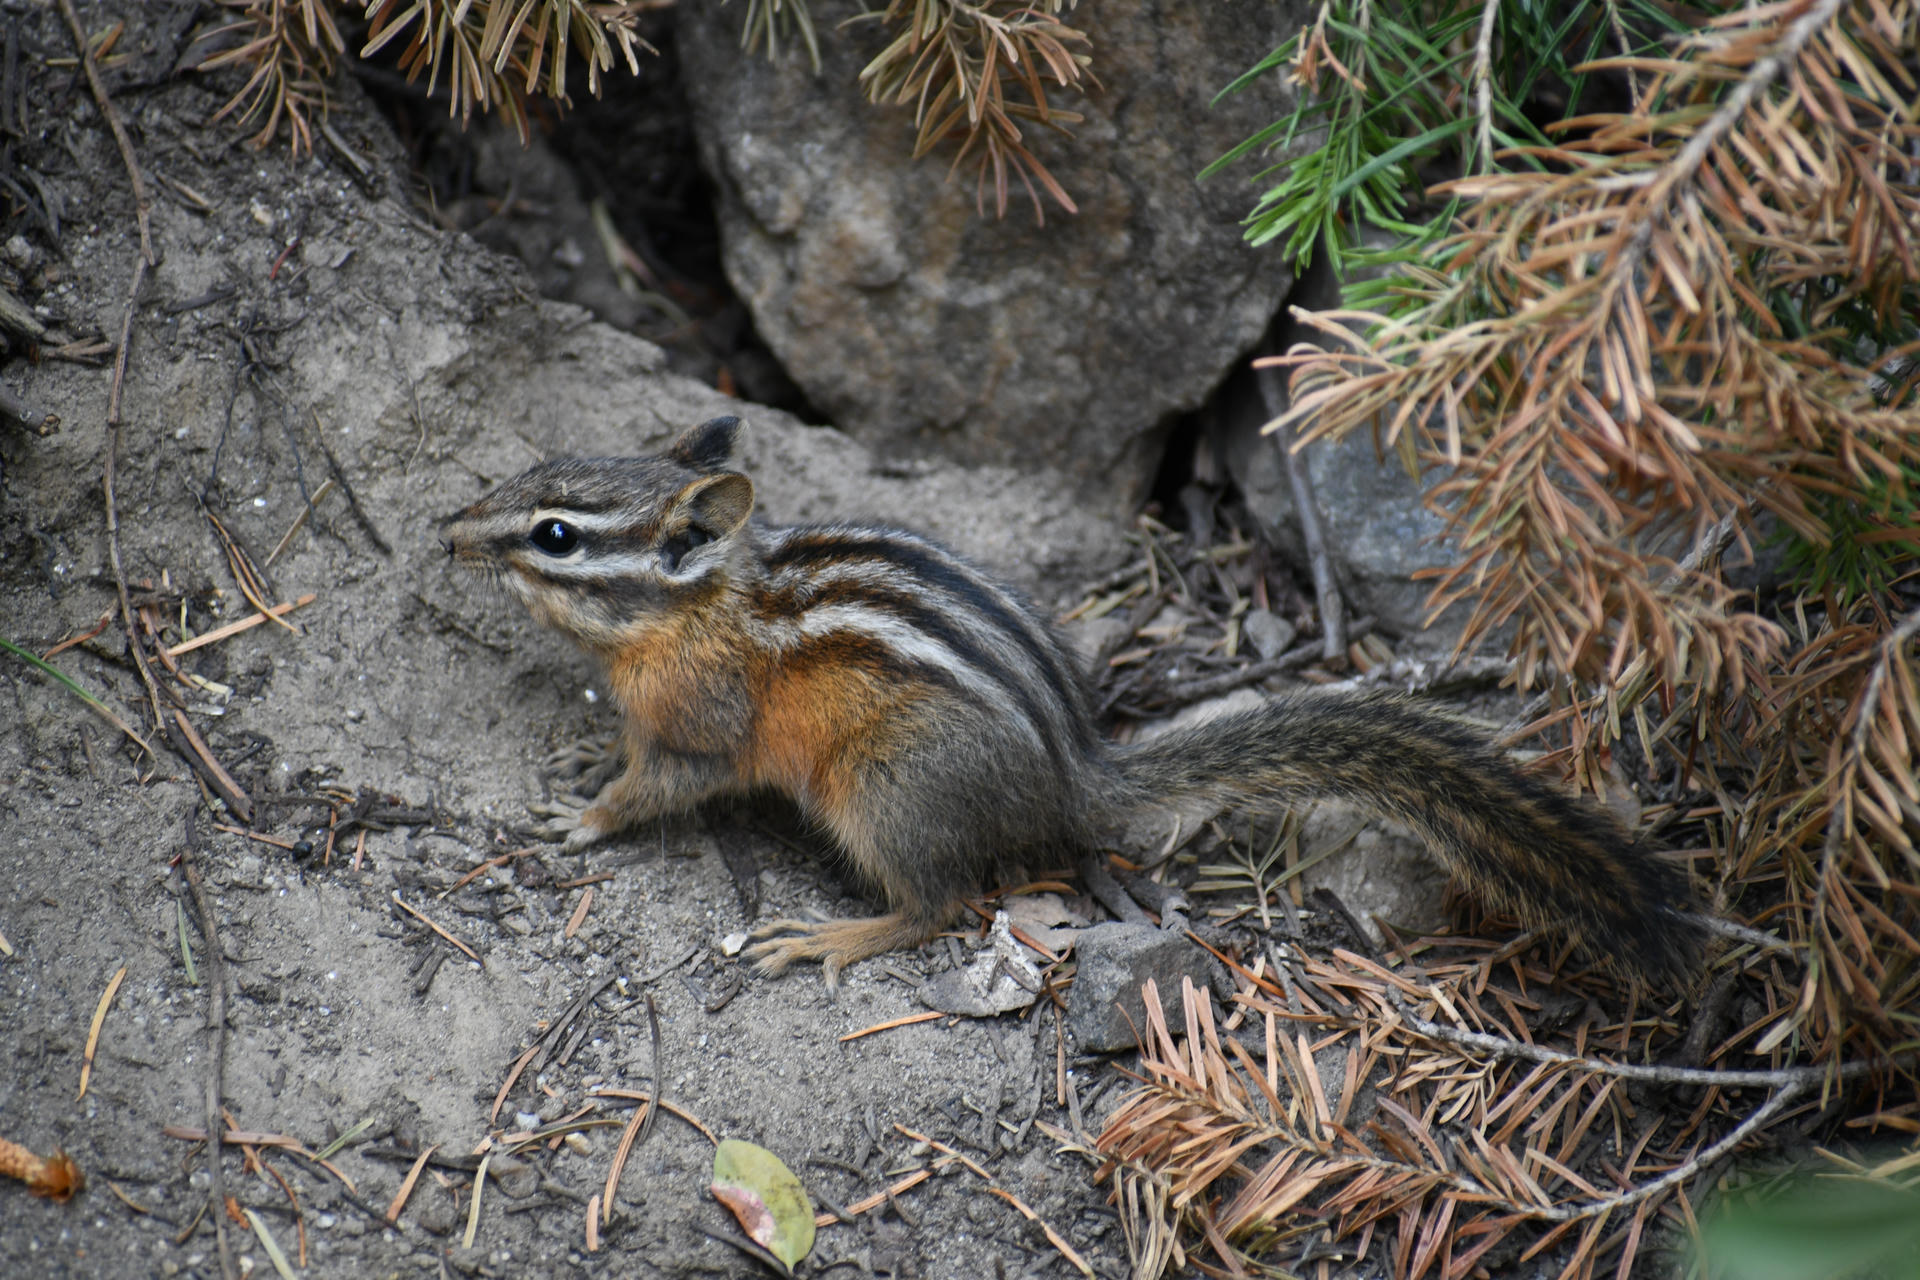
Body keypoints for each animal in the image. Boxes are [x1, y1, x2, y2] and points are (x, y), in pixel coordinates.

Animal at [441, 416, 1703, 985]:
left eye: (555, 534)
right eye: (537, 469)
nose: (447, 531)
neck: (697, 608)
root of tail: (1075, 770)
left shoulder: (706, 722)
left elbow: (665, 783)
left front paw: (585, 813)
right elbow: (623, 742)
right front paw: (584, 760)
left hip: (886, 786)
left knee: (939, 903)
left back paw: (831, 934)